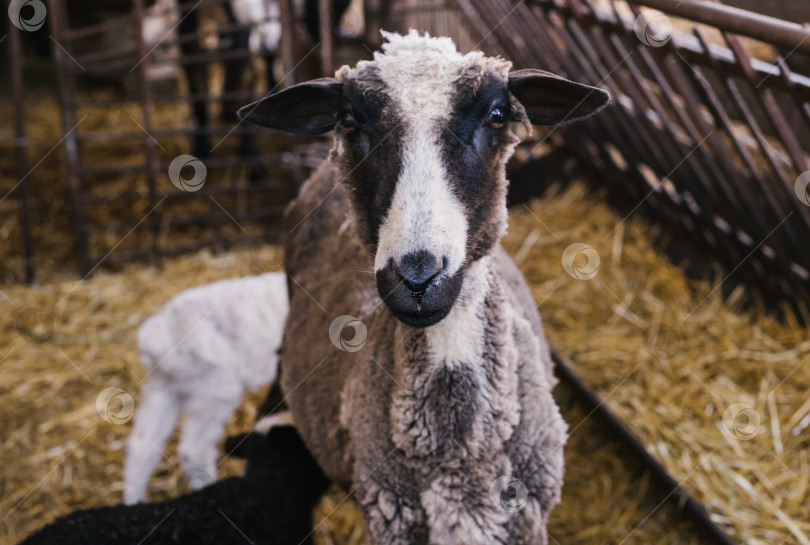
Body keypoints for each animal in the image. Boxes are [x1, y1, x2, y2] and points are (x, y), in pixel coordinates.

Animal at [123, 270, 288, 504]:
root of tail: (157, 337)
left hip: (164, 389)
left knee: (141, 448)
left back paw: (133, 501)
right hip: (215, 391)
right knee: (193, 450)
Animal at [237, 33, 608, 544]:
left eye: (497, 115)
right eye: (349, 120)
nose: (417, 276)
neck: (459, 450)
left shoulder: (528, 518)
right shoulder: (390, 518)